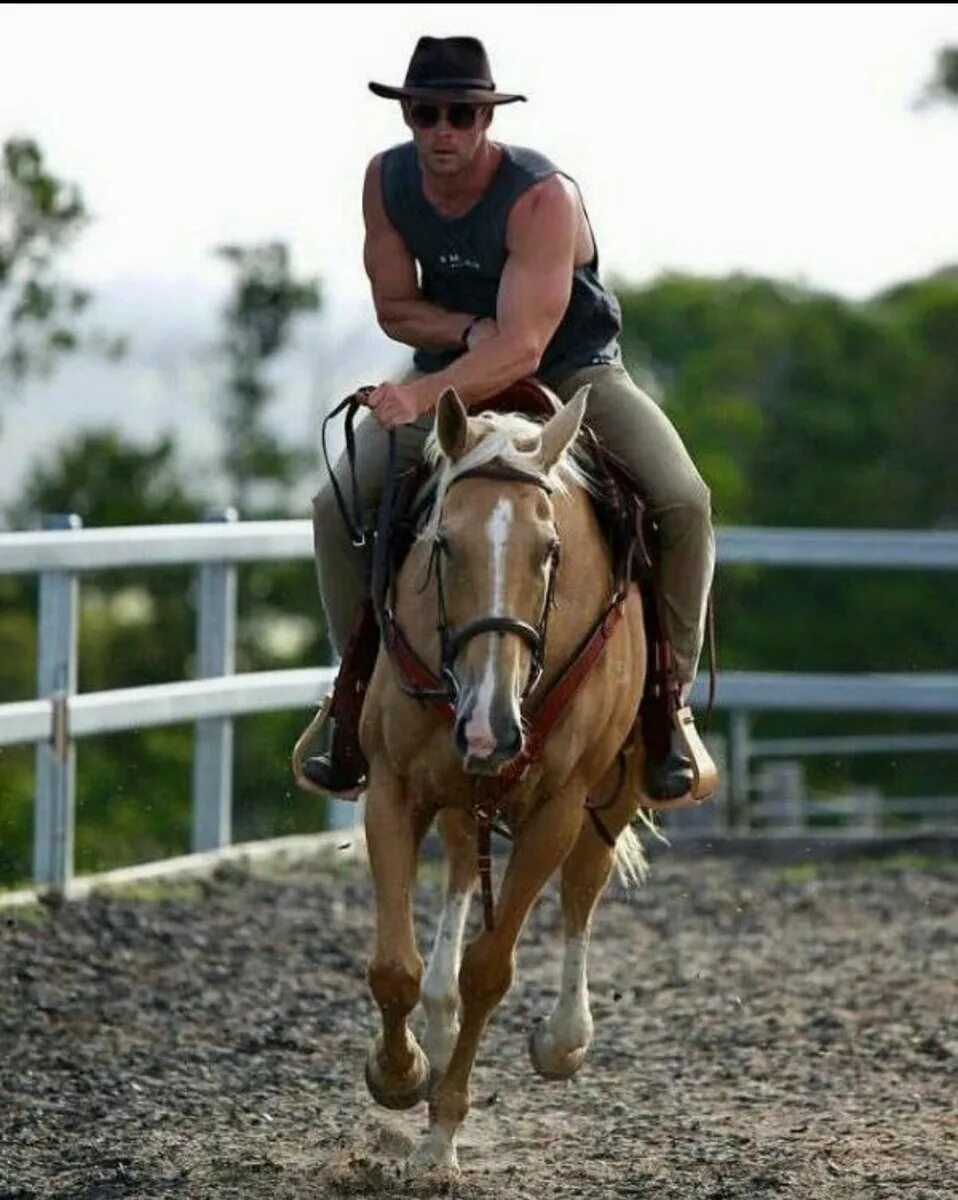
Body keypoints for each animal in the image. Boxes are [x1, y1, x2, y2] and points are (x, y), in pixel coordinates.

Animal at [355, 384, 653, 1171]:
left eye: (549, 551)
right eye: (441, 543)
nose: (489, 728)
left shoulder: (558, 809)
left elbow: (490, 970)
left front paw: (440, 1140)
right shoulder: (393, 786)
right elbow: (393, 967)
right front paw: (398, 1071)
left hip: (617, 787)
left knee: (583, 887)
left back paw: (564, 1036)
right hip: (464, 795)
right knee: (464, 867)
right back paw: (434, 1026)